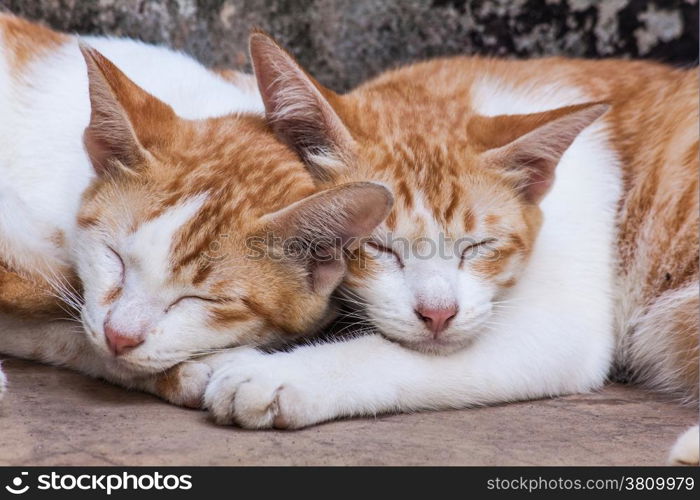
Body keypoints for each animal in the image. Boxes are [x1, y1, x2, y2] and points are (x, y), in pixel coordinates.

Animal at [205, 33, 696, 464]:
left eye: (477, 247)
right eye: (379, 247)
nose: (438, 314)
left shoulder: (561, 325)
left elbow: (396, 354)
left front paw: (281, 374)